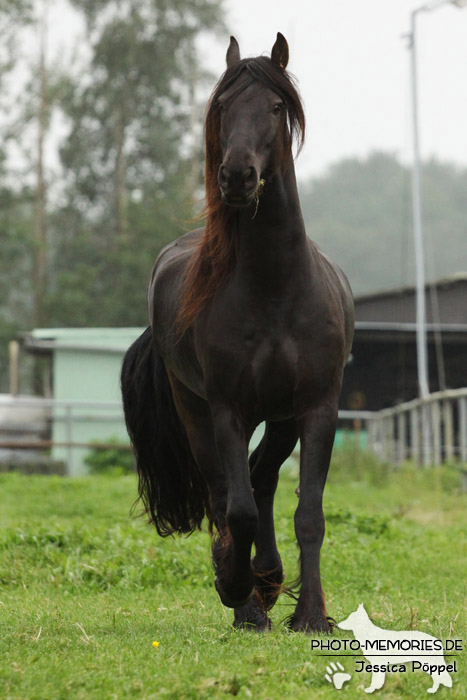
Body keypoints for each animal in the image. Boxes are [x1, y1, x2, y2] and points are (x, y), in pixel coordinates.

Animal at [121, 34, 354, 636]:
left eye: (274, 107)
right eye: (224, 107)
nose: (237, 177)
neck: (275, 288)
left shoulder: (317, 407)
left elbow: (309, 512)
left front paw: (310, 615)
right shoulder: (227, 409)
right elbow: (239, 509)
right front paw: (235, 588)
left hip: (281, 417)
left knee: (263, 477)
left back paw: (268, 580)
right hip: (199, 411)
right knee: (227, 492)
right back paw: (248, 593)